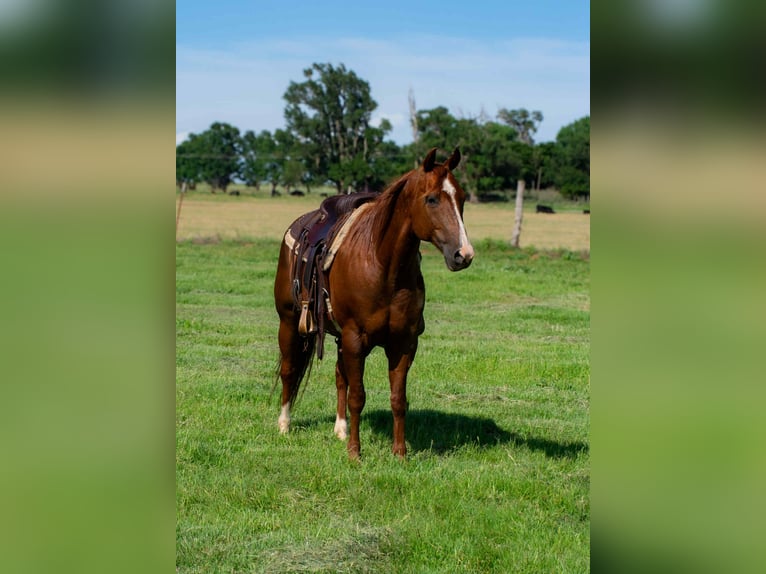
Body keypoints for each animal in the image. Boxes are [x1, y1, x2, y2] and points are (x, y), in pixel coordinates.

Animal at [273, 147, 474, 459]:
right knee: (289, 369)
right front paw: (356, 453)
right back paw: (284, 424)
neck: (382, 264)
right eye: (431, 199)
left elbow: (398, 398)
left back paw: (340, 429)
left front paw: (400, 452)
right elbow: (358, 396)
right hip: (289, 322)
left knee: (339, 376)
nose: (463, 254)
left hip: (338, 337)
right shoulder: (356, 339)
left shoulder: (403, 343)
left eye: (462, 198)